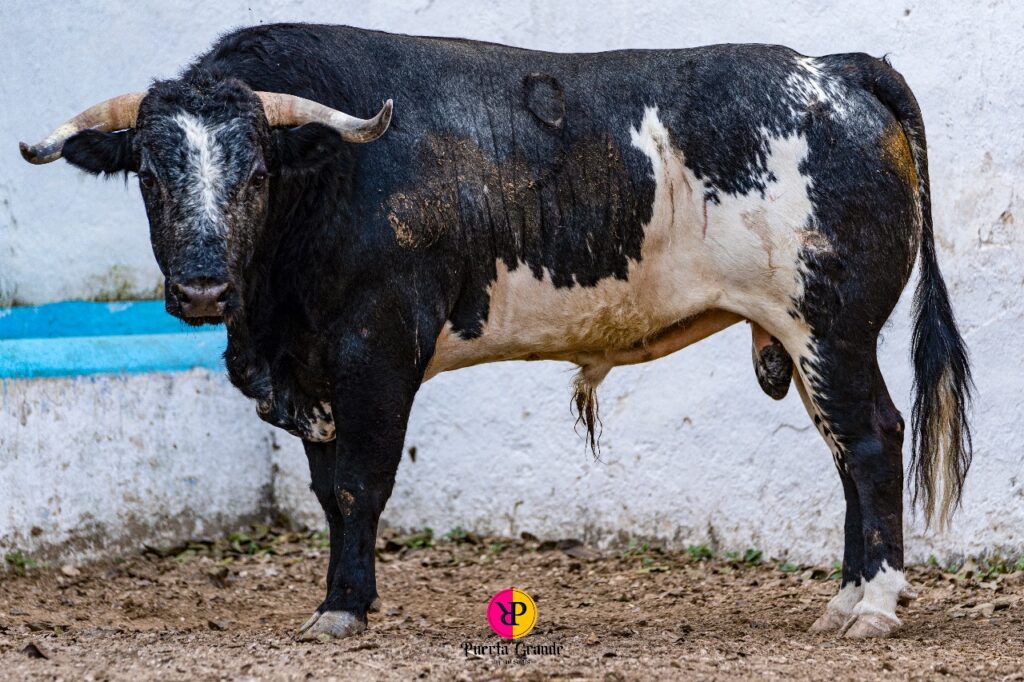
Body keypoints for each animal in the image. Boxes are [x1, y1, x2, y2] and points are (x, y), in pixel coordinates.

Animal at [19, 22, 970, 638]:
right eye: (149, 173)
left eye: (256, 171)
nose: (204, 287)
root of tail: (833, 67)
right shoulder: (316, 371)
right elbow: (329, 492)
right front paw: (344, 596)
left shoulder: (377, 350)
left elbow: (359, 486)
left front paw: (343, 609)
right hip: (806, 342)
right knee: (847, 453)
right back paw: (842, 600)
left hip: (830, 330)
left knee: (873, 441)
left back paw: (872, 608)